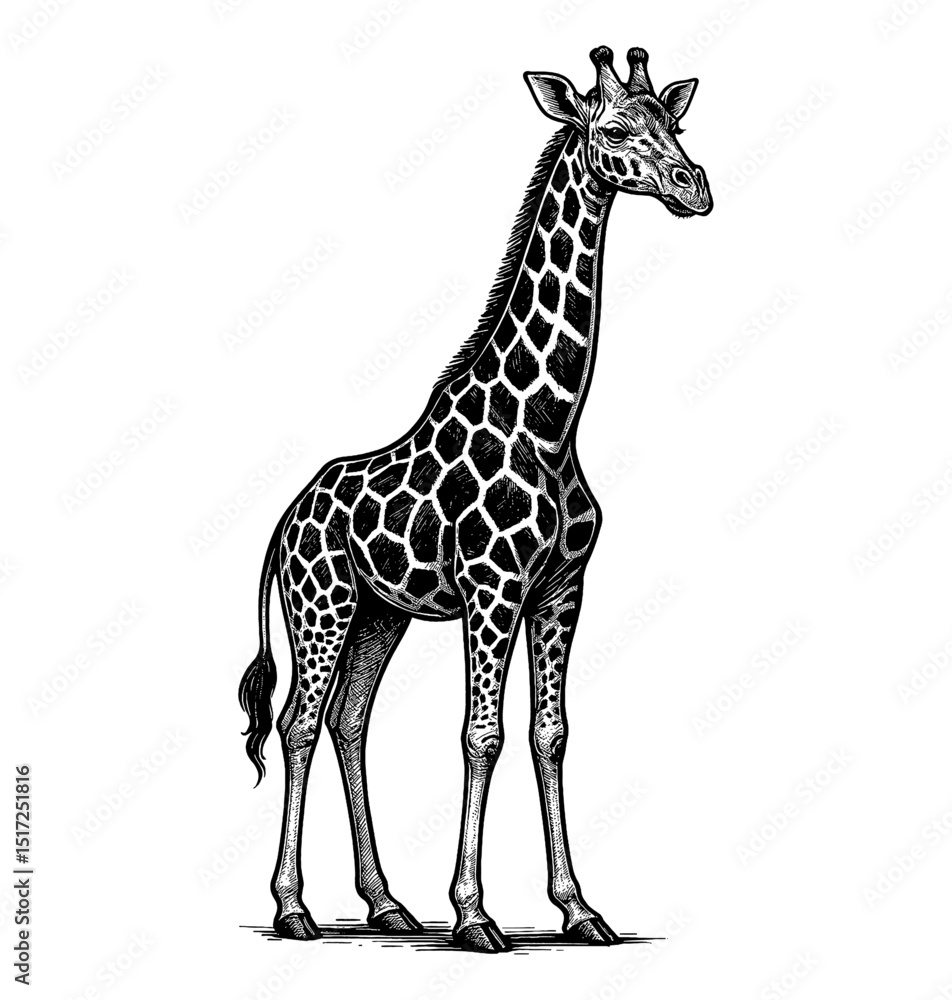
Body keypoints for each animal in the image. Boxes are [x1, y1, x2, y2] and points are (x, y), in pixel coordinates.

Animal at [238, 45, 712, 953]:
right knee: (299, 724)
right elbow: (480, 736)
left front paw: (579, 909)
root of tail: (284, 522)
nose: (694, 185)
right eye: (612, 129)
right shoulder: (492, 589)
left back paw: (386, 903)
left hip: (378, 614)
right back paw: (293, 907)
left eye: (674, 122)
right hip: (322, 607)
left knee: (350, 721)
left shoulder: (560, 589)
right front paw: (473, 913)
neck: (550, 424)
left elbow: (549, 733)